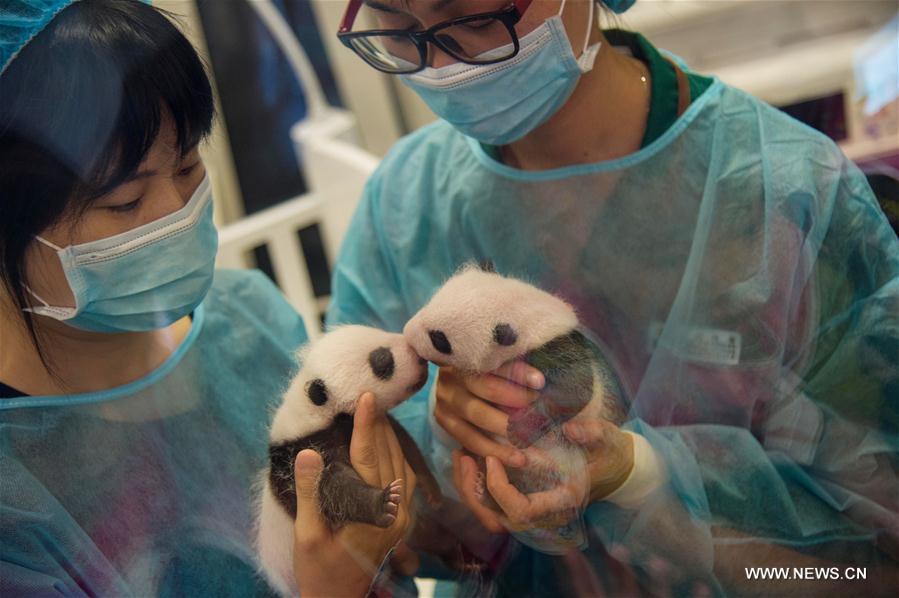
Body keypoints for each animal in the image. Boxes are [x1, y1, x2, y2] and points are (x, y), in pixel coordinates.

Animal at [255, 326, 442, 596]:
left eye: (378, 331)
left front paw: (431, 488)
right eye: (382, 361)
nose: (420, 356)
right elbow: (331, 489)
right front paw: (382, 503)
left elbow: (406, 443)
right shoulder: (303, 455)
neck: (313, 410)